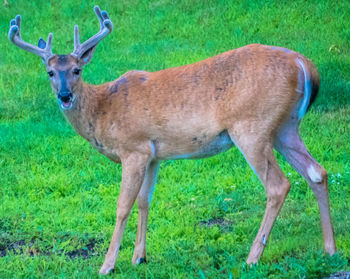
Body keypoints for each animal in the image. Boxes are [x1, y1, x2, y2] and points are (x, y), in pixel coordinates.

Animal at [8, 5, 336, 276]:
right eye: (50, 72)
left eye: (77, 70)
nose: (64, 95)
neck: (102, 109)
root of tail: (304, 64)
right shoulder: (153, 153)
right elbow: (144, 200)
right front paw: (139, 257)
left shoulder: (133, 148)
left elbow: (123, 205)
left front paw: (107, 265)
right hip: (285, 127)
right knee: (317, 172)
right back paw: (330, 249)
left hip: (251, 127)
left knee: (279, 185)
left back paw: (252, 257)